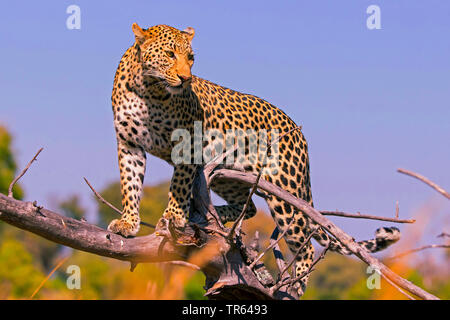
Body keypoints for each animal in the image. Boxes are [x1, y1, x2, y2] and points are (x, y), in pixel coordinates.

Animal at [106, 23, 400, 296]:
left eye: (190, 58)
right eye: (169, 54)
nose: (185, 78)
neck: (148, 90)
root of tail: (298, 132)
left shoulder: (187, 141)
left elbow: (178, 185)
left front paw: (173, 218)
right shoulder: (129, 145)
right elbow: (130, 185)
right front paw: (128, 223)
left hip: (286, 196)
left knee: (304, 245)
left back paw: (295, 285)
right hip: (226, 177)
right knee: (249, 208)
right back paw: (209, 218)